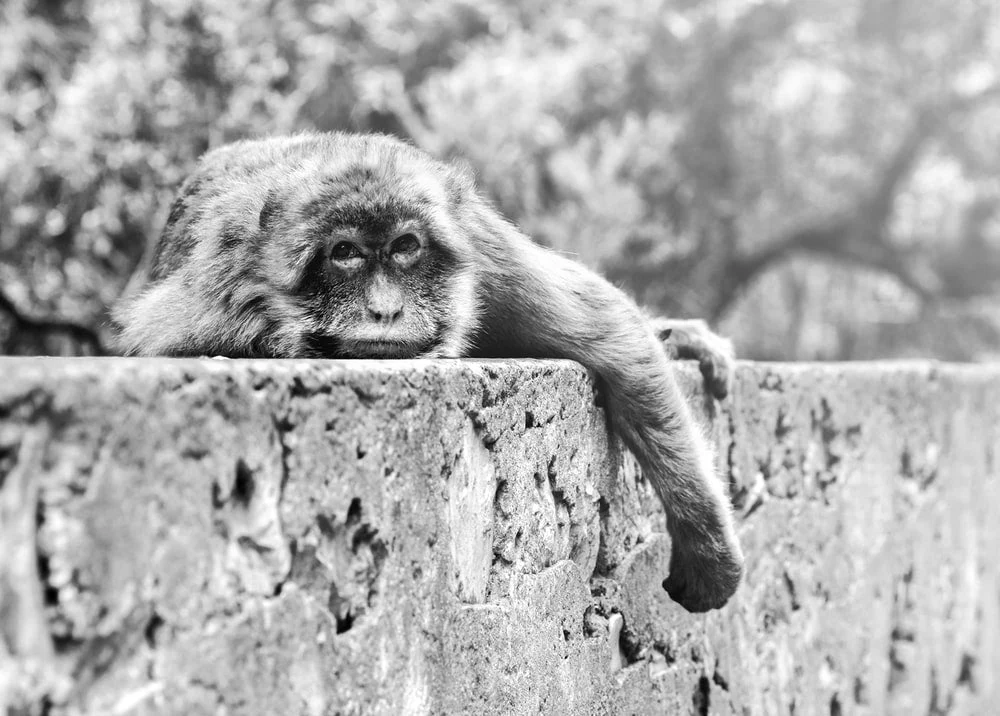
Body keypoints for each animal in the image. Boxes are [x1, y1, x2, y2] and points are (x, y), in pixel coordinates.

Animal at [112, 132, 743, 613]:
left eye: (405, 246)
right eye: (345, 254)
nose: (385, 309)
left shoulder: (487, 255)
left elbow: (610, 331)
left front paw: (705, 540)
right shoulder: (219, 291)